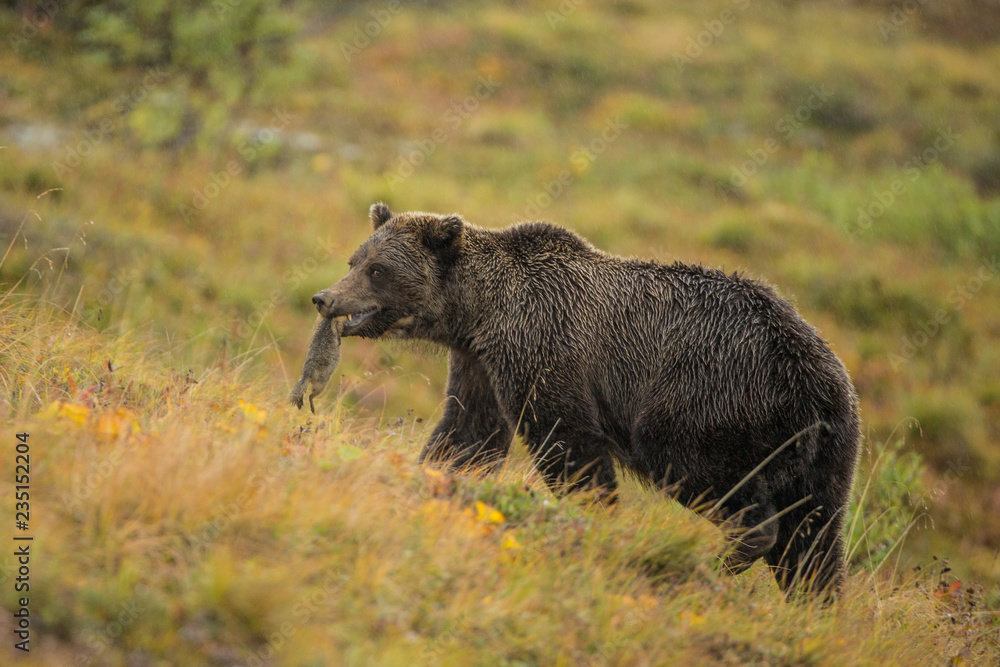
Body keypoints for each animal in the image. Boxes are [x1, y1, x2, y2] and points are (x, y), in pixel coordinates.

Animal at [311, 203, 861, 597]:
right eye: (355, 260)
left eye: (378, 269)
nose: (324, 297)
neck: (478, 315)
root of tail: (807, 378)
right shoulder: (481, 363)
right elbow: (469, 433)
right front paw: (436, 473)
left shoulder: (545, 344)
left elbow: (568, 442)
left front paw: (592, 519)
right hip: (827, 447)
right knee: (814, 538)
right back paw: (815, 604)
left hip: (705, 398)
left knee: (711, 475)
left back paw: (727, 554)